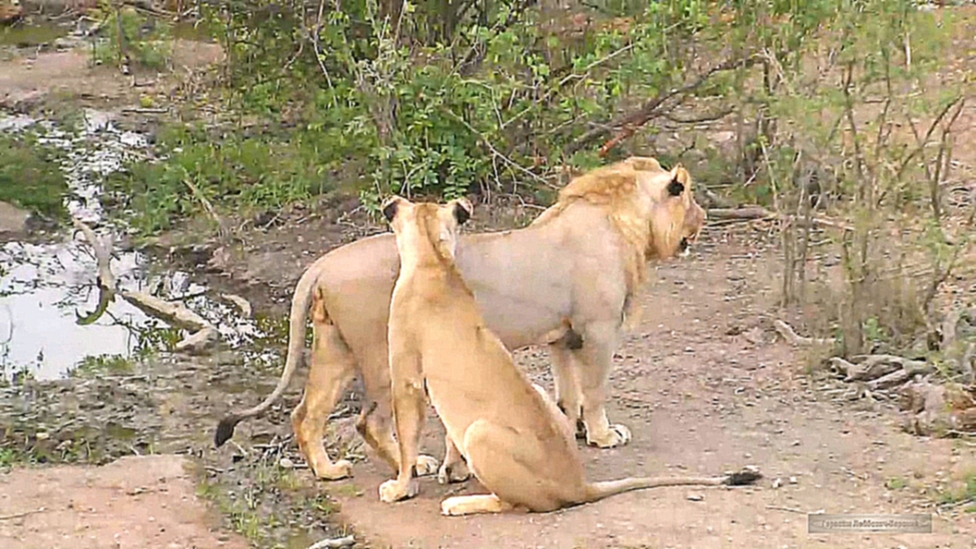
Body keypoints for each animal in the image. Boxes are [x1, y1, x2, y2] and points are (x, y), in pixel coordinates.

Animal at [217, 157, 708, 480]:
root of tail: (322, 263)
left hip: (336, 349)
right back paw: (413, 466)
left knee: (307, 414)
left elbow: (568, 392)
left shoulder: (563, 337)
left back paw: (329, 471)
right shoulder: (598, 331)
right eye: (690, 198)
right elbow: (596, 389)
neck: (625, 223)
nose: (704, 218)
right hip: (382, 355)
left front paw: (574, 429)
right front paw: (604, 435)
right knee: (369, 420)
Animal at [378, 195, 760, 512]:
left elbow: (407, 441)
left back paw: (461, 504)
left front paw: (400, 489)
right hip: (537, 394)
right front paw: (449, 469)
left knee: (515, 503)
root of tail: (580, 485)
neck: (435, 260)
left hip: (480, 432)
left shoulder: (407, 380)